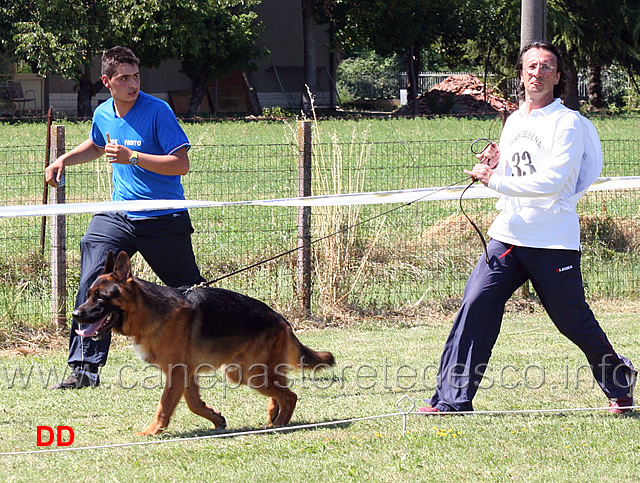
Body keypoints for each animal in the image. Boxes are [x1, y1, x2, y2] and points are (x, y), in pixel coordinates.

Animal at [72, 251, 336, 436]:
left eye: (100, 298)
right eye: (88, 295)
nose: (75, 314)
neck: (150, 312)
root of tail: (281, 319)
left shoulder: (177, 373)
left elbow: (164, 405)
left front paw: (151, 432)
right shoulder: (186, 374)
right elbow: (193, 404)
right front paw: (216, 418)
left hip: (248, 373)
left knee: (290, 396)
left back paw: (280, 424)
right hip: (245, 372)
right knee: (281, 390)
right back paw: (273, 415)